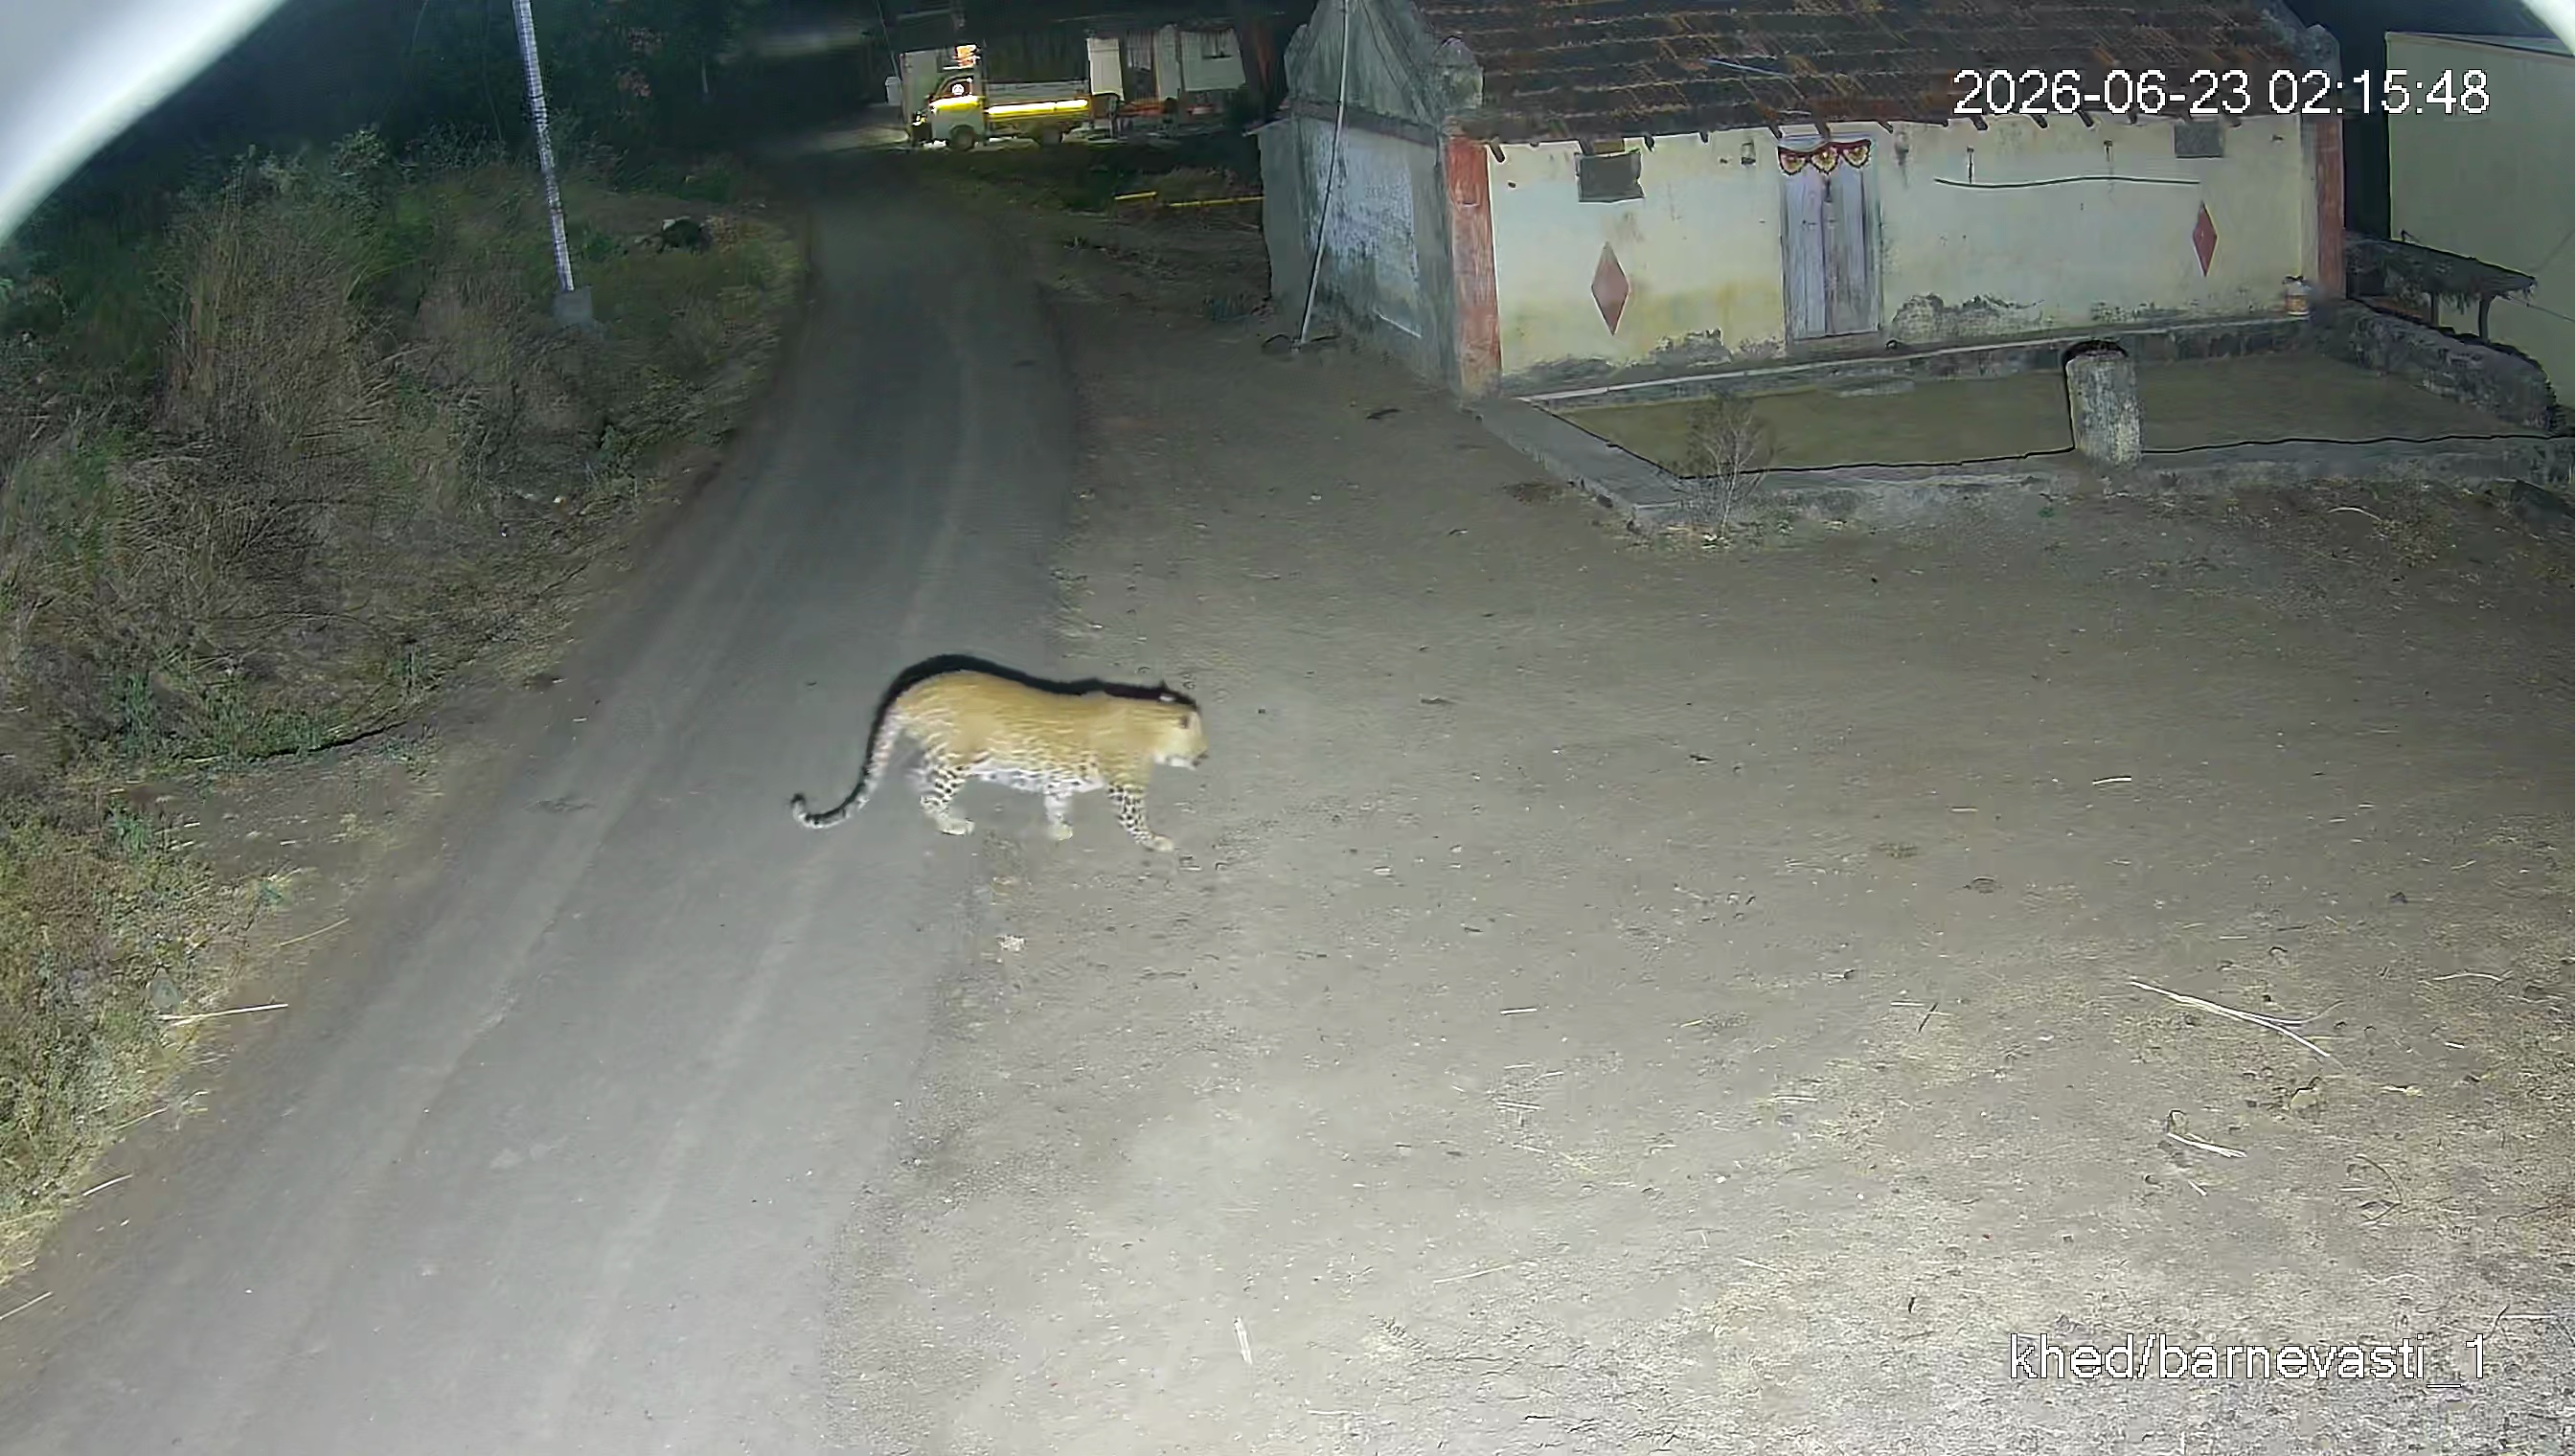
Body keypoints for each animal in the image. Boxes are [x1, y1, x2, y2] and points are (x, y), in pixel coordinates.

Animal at [788, 668, 1209, 851]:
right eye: (1200, 743)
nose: (1205, 758)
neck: (1147, 720)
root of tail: (911, 691)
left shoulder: (1058, 782)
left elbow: (1055, 802)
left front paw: (1058, 829)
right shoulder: (1126, 788)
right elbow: (1134, 821)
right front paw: (1155, 841)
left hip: (941, 756)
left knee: (915, 776)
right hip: (957, 761)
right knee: (930, 797)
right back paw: (953, 823)